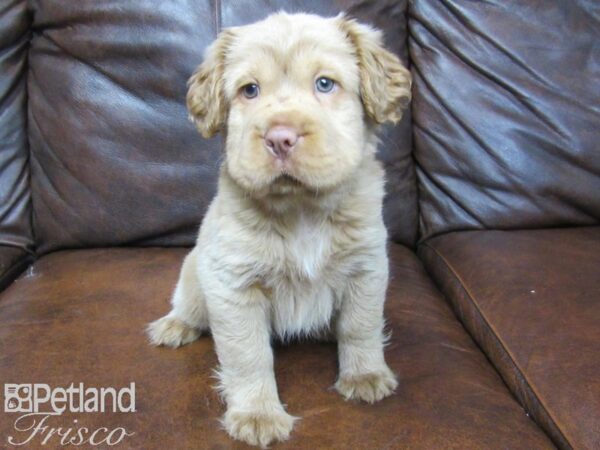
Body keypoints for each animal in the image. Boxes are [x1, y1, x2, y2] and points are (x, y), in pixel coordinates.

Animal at [149, 10, 412, 446]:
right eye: (249, 90)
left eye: (325, 83)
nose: (280, 138)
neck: (301, 209)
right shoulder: (233, 284)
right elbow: (248, 355)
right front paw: (257, 413)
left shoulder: (368, 267)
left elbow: (361, 324)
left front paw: (365, 374)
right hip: (192, 274)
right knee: (187, 306)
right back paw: (175, 325)